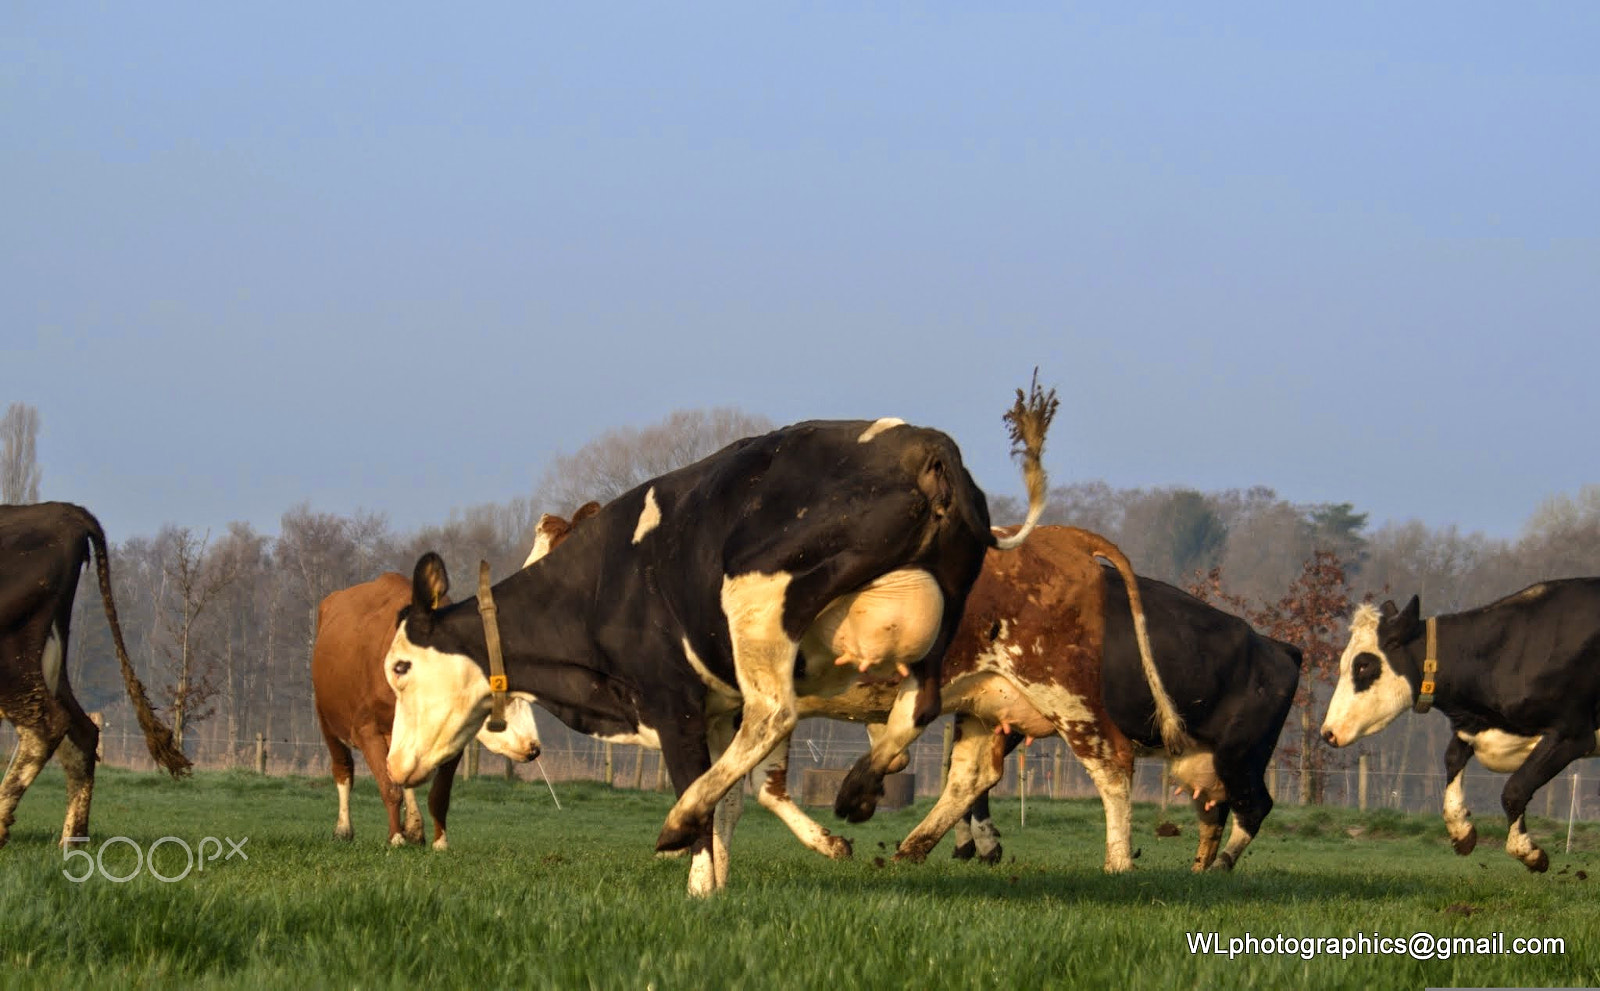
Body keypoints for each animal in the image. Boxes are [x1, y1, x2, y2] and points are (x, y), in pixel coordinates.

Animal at [0, 509, 191, 851]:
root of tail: (62, 509)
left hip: (12, 658)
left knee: (47, 726)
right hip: (50, 662)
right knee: (82, 732)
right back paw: (70, 841)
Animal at [312, 569, 544, 851]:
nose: (534, 748)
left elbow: (439, 794)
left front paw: (439, 842)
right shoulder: (367, 729)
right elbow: (389, 788)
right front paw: (395, 837)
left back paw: (414, 827)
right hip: (327, 719)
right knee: (343, 770)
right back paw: (344, 829)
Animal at [384, 389, 1062, 896]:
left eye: (399, 667)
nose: (393, 766)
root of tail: (928, 444)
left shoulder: (673, 699)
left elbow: (703, 786)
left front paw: (697, 878)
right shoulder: (715, 706)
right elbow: (732, 795)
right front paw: (715, 884)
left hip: (758, 596)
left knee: (777, 713)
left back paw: (683, 820)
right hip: (941, 617)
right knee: (917, 706)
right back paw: (858, 788)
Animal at [1318, 582, 1600, 877]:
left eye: (1363, 665)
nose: (1328, 732)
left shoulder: (1571, 734)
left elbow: (1514, 790)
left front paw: (1529, 852)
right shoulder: (1474, 727)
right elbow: (1452, 759)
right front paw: (1461, 831)